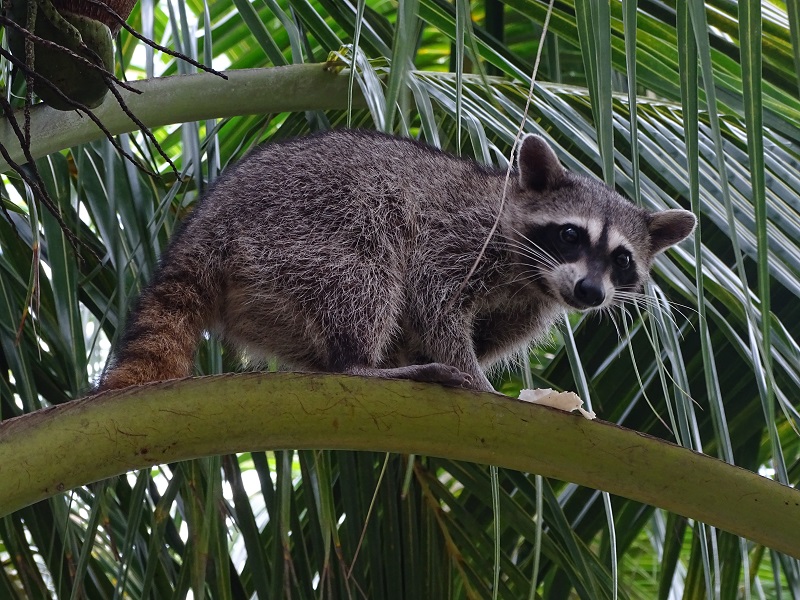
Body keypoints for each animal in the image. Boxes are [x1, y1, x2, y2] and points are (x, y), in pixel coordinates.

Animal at [97, 129, 696, 393]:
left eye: (622, 261)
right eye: (571, 235)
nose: (590, 294)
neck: (534, 275)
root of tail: (206, 226)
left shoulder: (534, 301)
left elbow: (480, 331)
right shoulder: (464, 235)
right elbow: (433, 297)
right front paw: (472, 376)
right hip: (297, 230)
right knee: (368, 265)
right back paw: (358, 362)